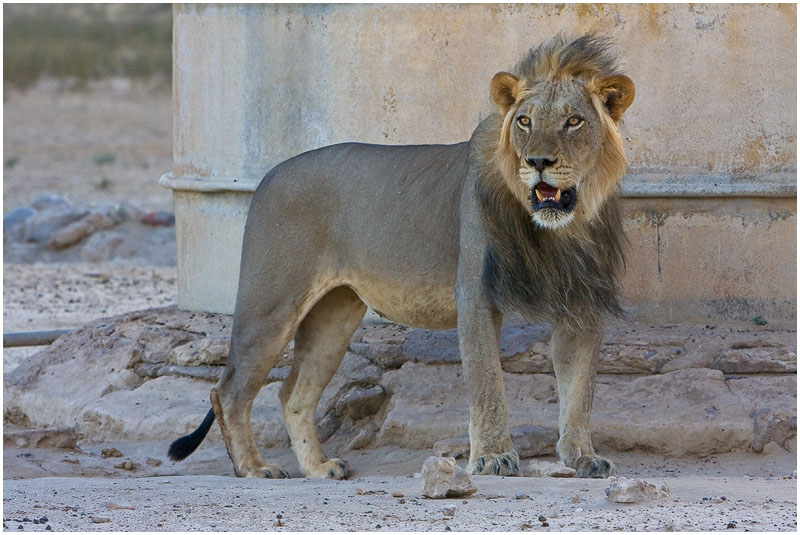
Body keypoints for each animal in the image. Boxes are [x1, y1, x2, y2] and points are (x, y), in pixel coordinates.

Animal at [167, 34, 632, 482]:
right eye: (525, 121)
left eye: (574, 121)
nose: (537, 162)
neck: (558, 230)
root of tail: (267, 175)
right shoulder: (475, 294)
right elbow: (487, 384)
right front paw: (493, 458)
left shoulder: (582, 304)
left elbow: (579, 391)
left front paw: (583, 457)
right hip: (271, 304)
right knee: (229, 391)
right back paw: (254, 467)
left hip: (334, 316)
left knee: (292, 393)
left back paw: (318, 468)